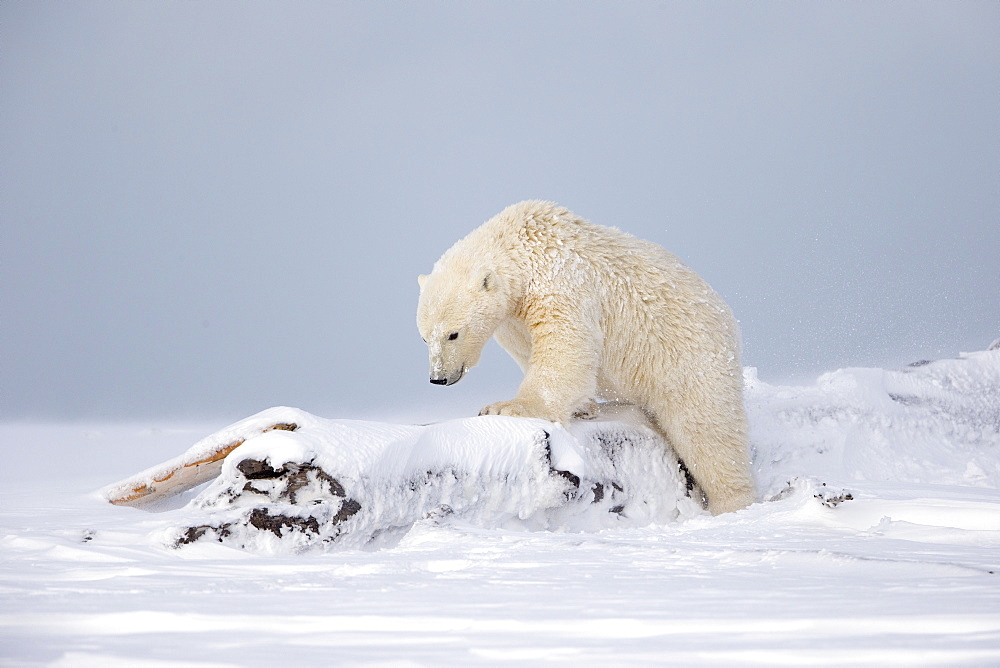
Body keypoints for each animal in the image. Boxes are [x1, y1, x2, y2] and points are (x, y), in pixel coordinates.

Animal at [418, 201, 752, 516]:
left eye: (453, 334)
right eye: (424, 337)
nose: (439, 377)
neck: (522, 246)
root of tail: (727, 318)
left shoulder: (559, 280)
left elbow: (565, 343)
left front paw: (506, 407)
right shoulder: (513, 319)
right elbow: (533, 351)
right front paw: (584, 407)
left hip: (688, 355)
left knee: (705, 428)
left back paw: (731, 501)